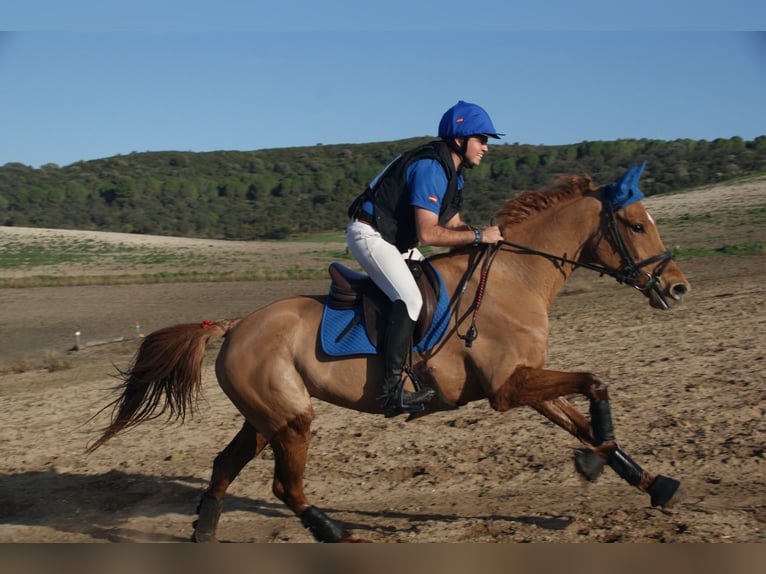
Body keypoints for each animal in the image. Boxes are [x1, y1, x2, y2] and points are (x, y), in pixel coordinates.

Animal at [87, 165, 692, 544]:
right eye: (635, 225)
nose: (678, 287)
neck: (515, 276)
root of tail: (236, 324)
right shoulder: (508, 388)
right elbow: (592, 383)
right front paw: (597, 460)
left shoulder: (524, 379)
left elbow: (585, 411)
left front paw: (645, 480)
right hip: (291, 419)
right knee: (285, 485)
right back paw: (333, 531)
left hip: (266, 418)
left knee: (224, 467)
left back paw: (206, 532)